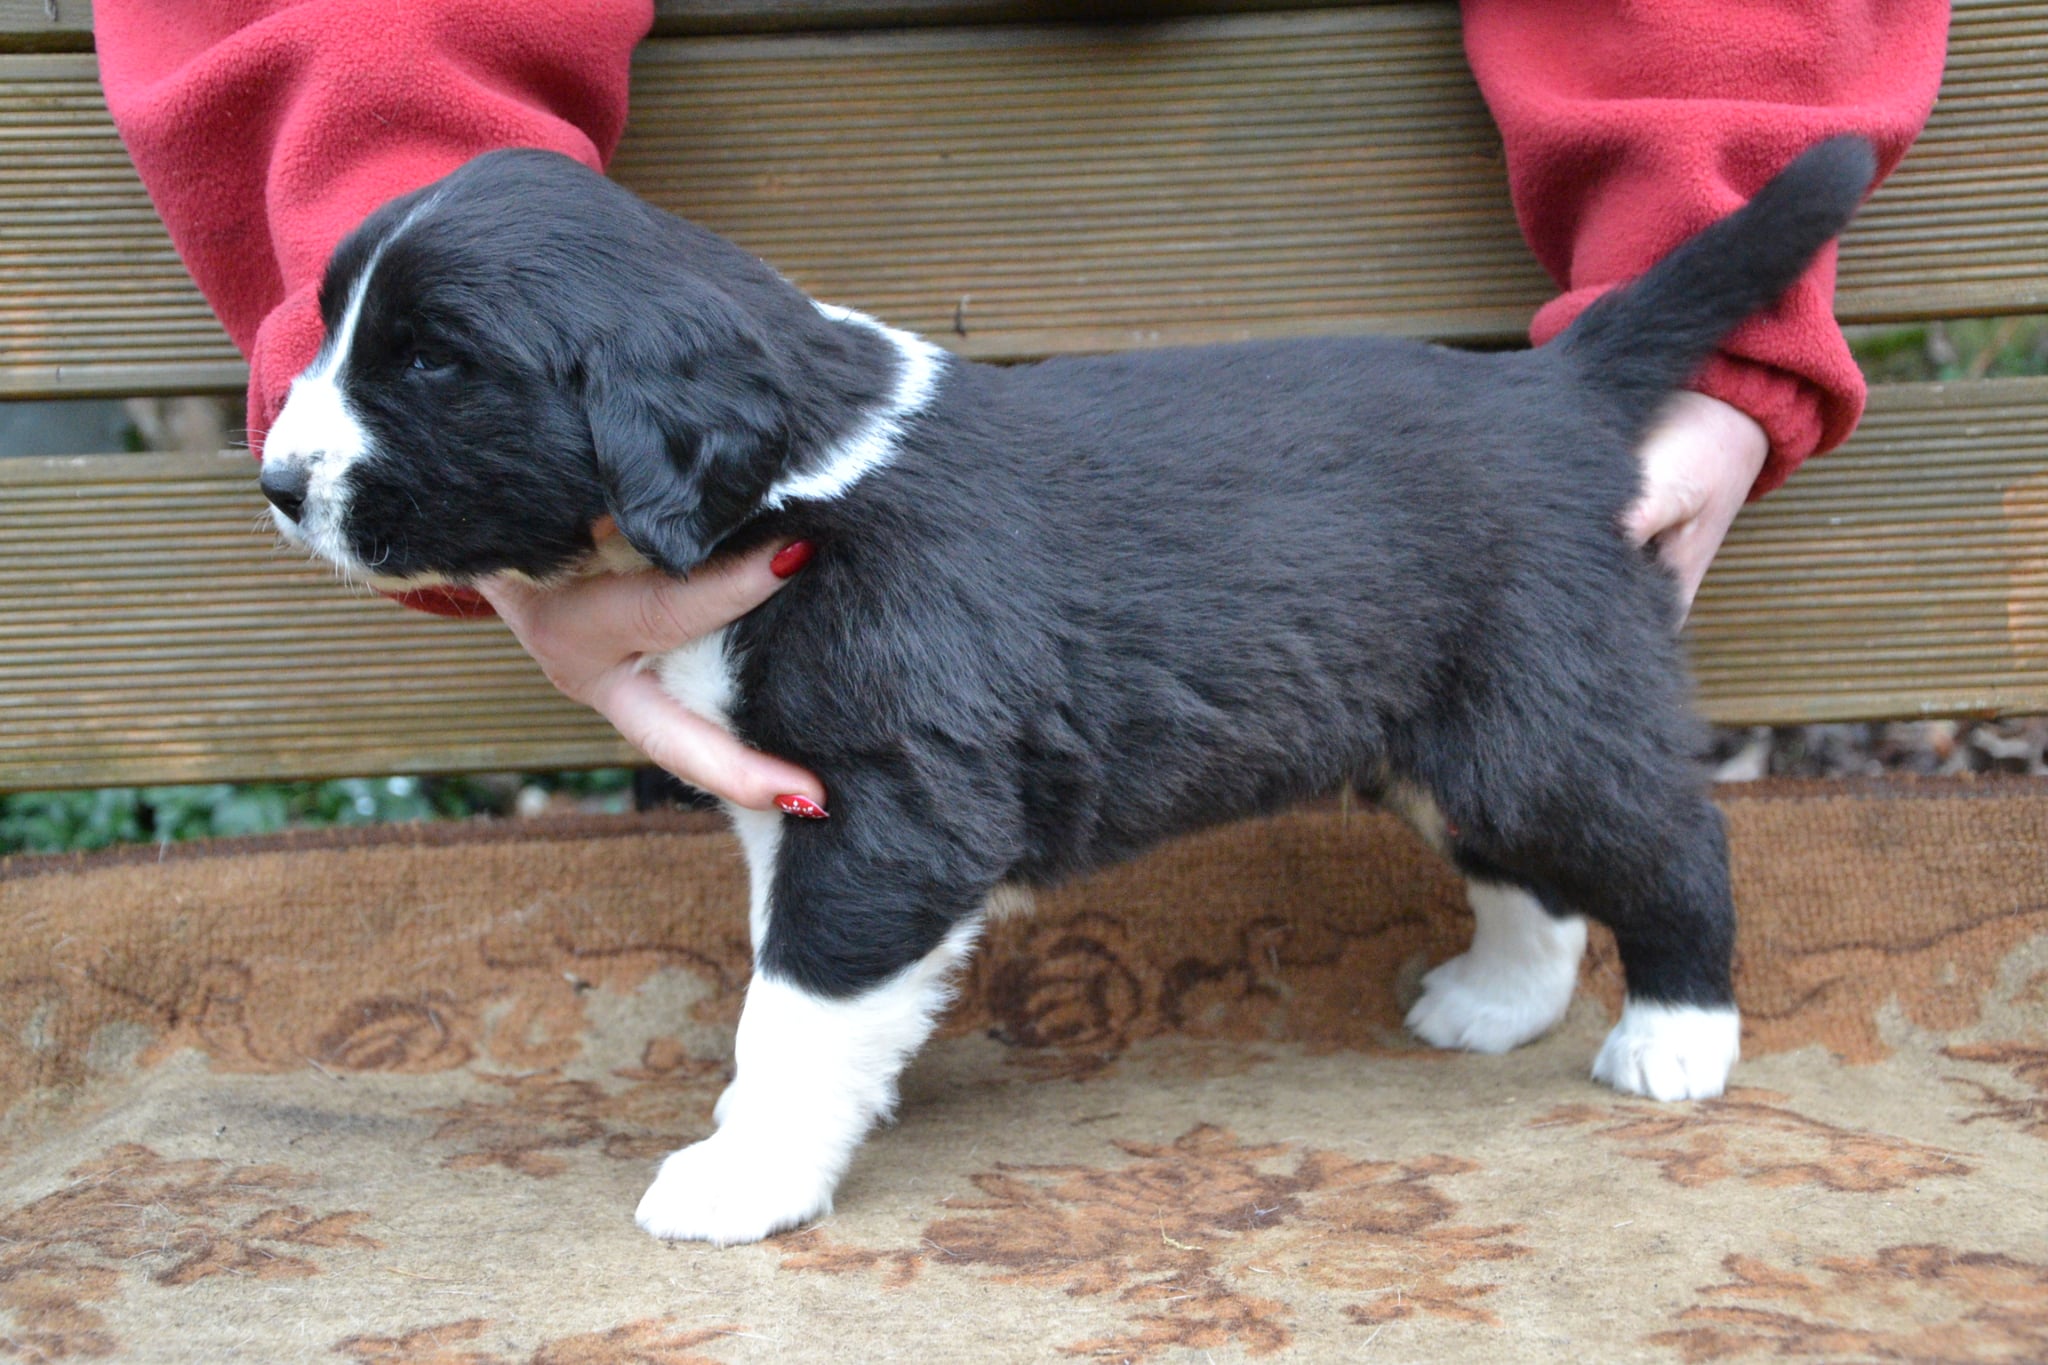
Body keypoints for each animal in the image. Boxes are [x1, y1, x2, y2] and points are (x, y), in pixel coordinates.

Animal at [258, 137, 1875, 1245]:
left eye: (433, 361)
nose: (277, 482)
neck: (794, 471)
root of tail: (1552, 391)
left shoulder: (896, 811)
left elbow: (797, 1005)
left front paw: (744, 1175)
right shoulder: (795, 805)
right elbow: (787, 988)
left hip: (1537, 713)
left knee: (1669, 837)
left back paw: (1676, 1037)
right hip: (1445, 727)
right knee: (1521, 868)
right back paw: (1498, 999)